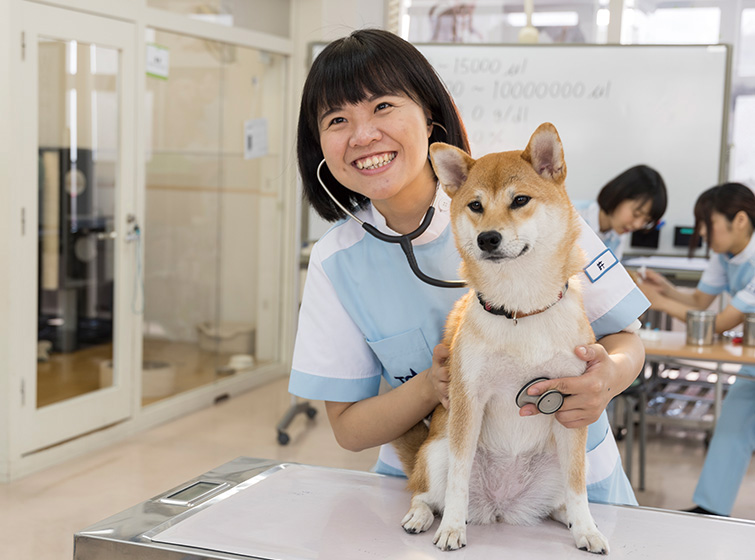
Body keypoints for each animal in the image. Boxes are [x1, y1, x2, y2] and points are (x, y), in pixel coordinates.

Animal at [398, 120, 612, 552]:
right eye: (475, 206)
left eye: (520, 200)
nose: (488, 238)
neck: (521, 309)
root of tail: (500, 507)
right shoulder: (468, 401)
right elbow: (458, 481)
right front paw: (452, 529)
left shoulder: (571, 403)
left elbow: (579, 486)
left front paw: (586, 529)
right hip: (437, 450)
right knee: (425, 491)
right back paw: (424, 516)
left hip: (555, 456)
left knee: (565, 493)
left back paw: (568, 518)